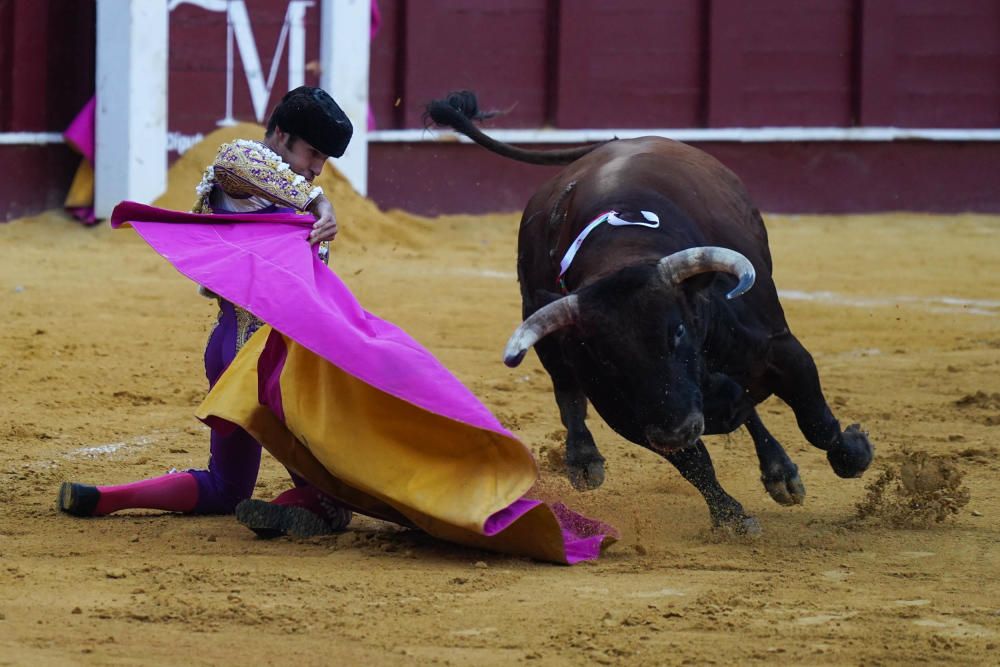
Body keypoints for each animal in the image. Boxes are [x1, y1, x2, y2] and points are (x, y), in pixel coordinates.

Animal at [426, 91, 872, 536]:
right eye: (605, 356)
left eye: (677, 332)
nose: (678, 428)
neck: (624, 252)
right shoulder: (628, 413)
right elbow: (695, 463)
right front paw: (731, 517)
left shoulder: (780, 350)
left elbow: (815, 421)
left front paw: (855, 452)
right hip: (546, 333)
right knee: (568, 392)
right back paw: (584, 460)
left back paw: (781, 472)